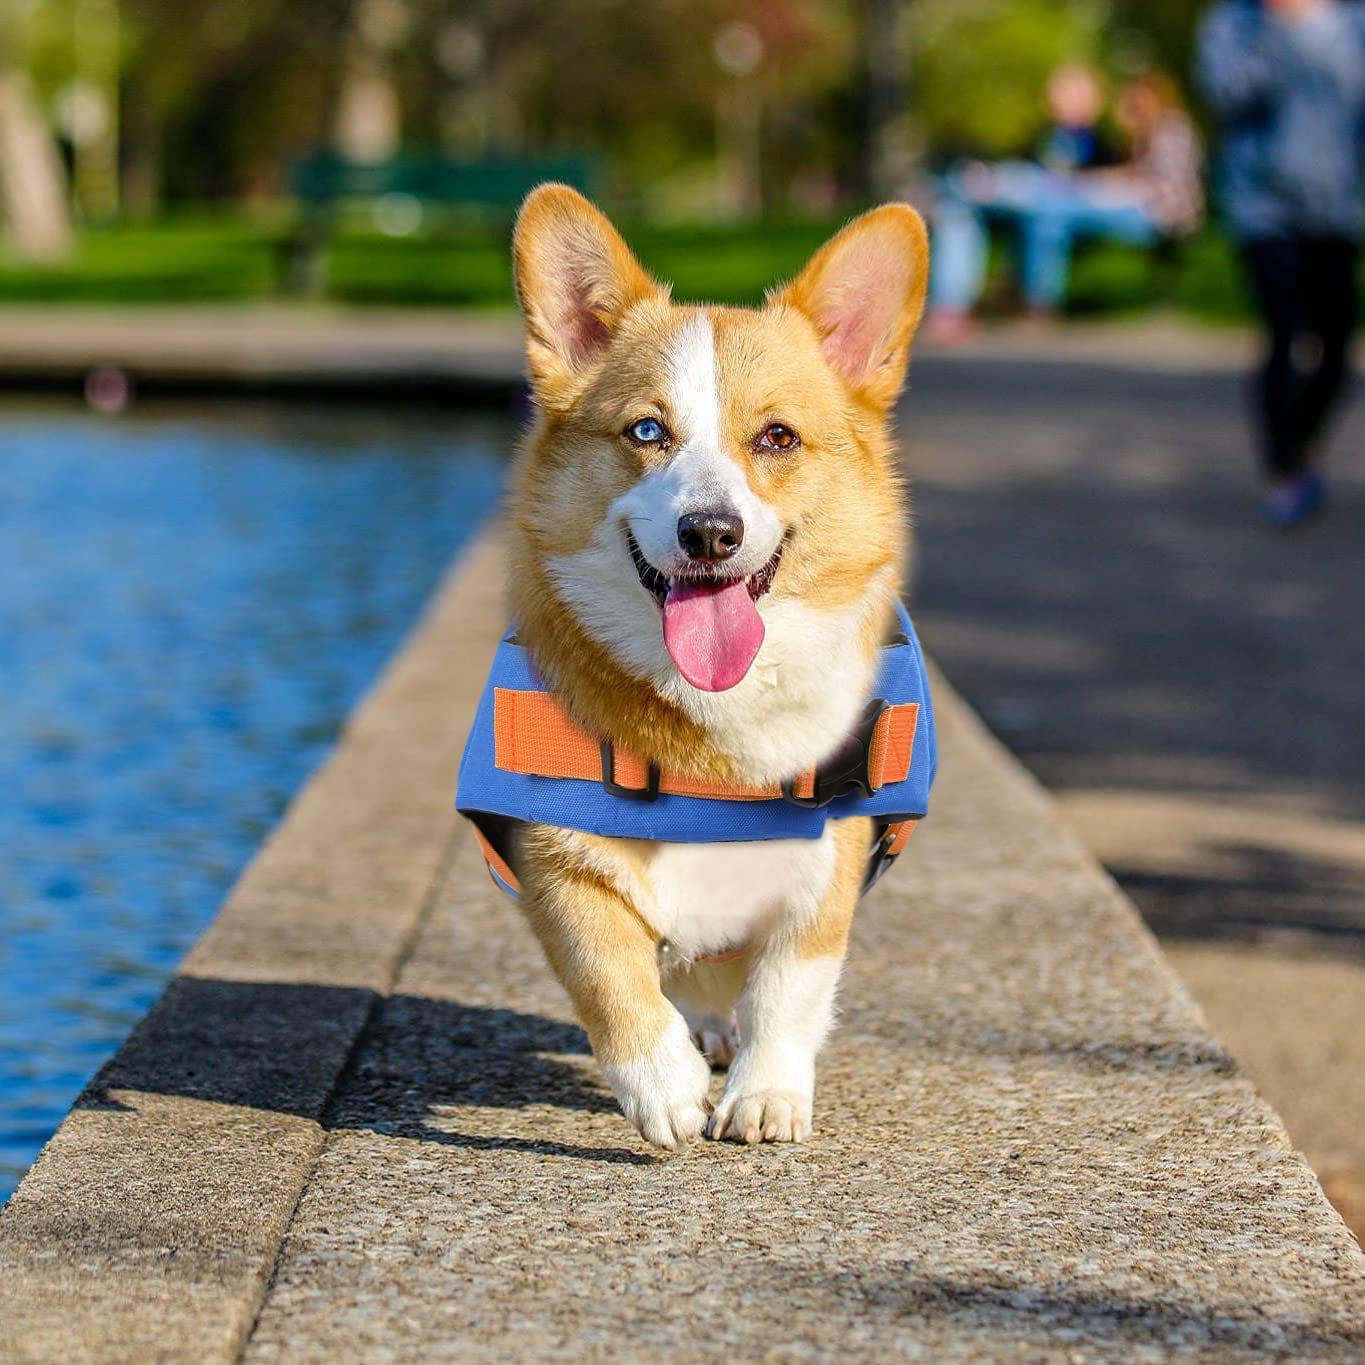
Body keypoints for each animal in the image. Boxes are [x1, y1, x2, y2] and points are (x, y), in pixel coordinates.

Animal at [499, 187, 928, 1146]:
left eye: (776, 437)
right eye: (646, 430)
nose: (709, 534)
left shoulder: (824, 871)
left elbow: (786, 989)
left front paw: (766, 1095)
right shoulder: (553, 860)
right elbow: (607, 972)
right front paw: (661, 1083)